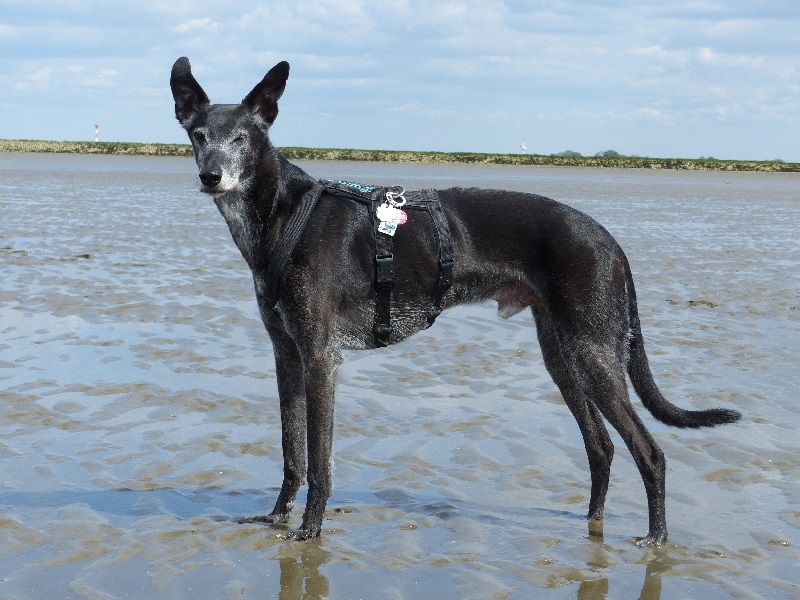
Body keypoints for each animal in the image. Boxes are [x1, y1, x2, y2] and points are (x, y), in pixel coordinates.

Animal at [172, 56, 740, 544]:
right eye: (198, 136)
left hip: (594, 353)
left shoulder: (319, 357)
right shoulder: (286, 354)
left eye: (241, 137)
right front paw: (276, 516)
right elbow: (292, 451)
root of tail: (610, 241)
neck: (283, 215)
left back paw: (656, 537)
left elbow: (318, 459)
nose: (211, 176)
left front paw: (310, 530)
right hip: (564, 356)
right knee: (600, 447)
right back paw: (592, 525)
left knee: (650, 451)